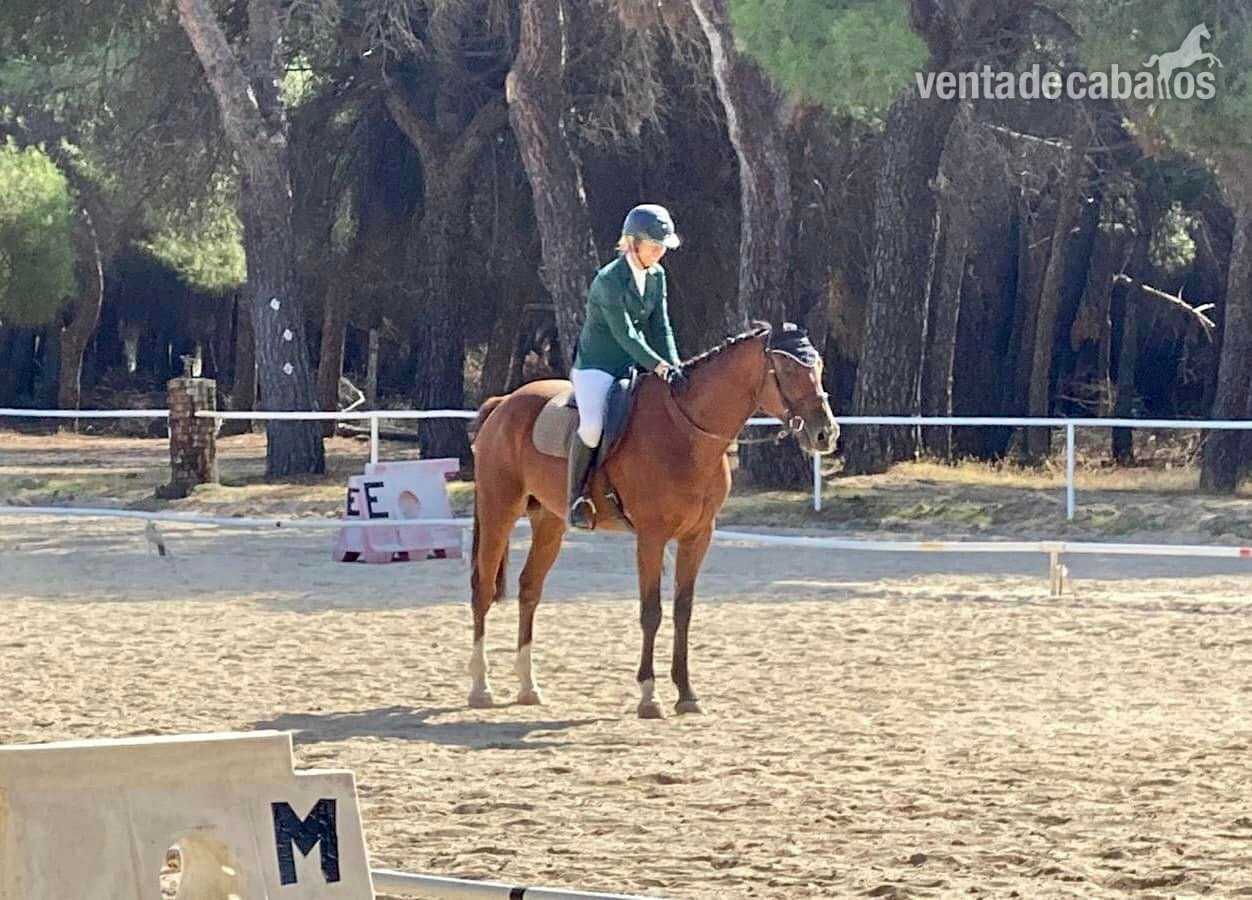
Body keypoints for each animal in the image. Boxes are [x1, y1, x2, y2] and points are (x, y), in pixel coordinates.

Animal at [467, 322, 838, 718]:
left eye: (819, 368)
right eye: (787, 370)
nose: (825, 434)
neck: (686, 432)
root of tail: (503, 403)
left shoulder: (698, 536)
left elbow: (683, 611)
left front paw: (687, 694)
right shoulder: (651, 536)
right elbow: (651, 612)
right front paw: (649, 695)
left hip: (549, 522)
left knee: (529, 589)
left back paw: (528, 687)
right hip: (499, 511)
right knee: (483, 590)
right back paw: (480, 688)